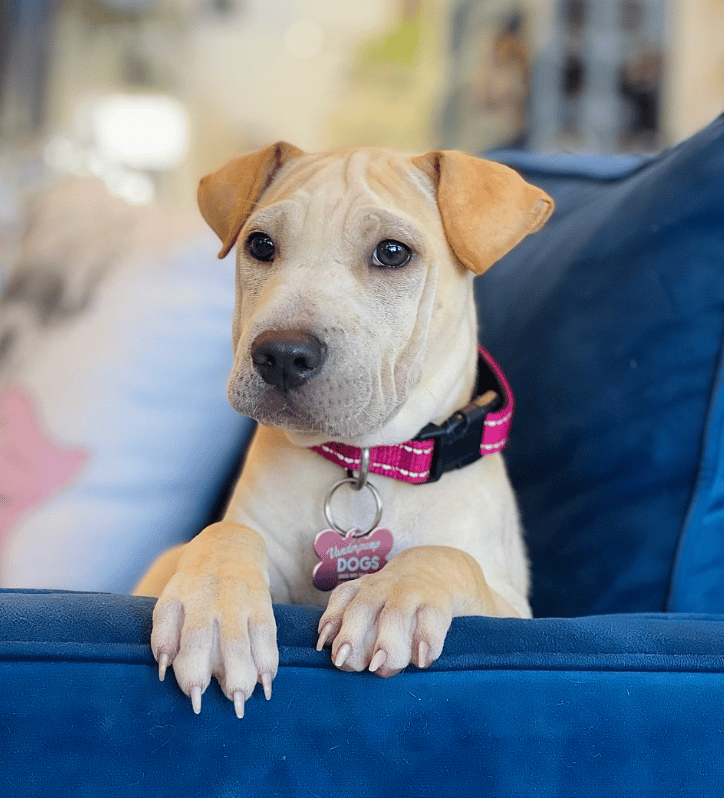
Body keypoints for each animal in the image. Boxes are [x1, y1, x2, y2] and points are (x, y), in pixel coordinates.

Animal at [136, 142, 556, 720]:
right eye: (260, 245)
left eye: (393, 253)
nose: (282, 355)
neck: (367, 459)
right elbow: (227, 533)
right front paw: (215, 613)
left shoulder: (515, 611)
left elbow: (451, 557)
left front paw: (391, 594)